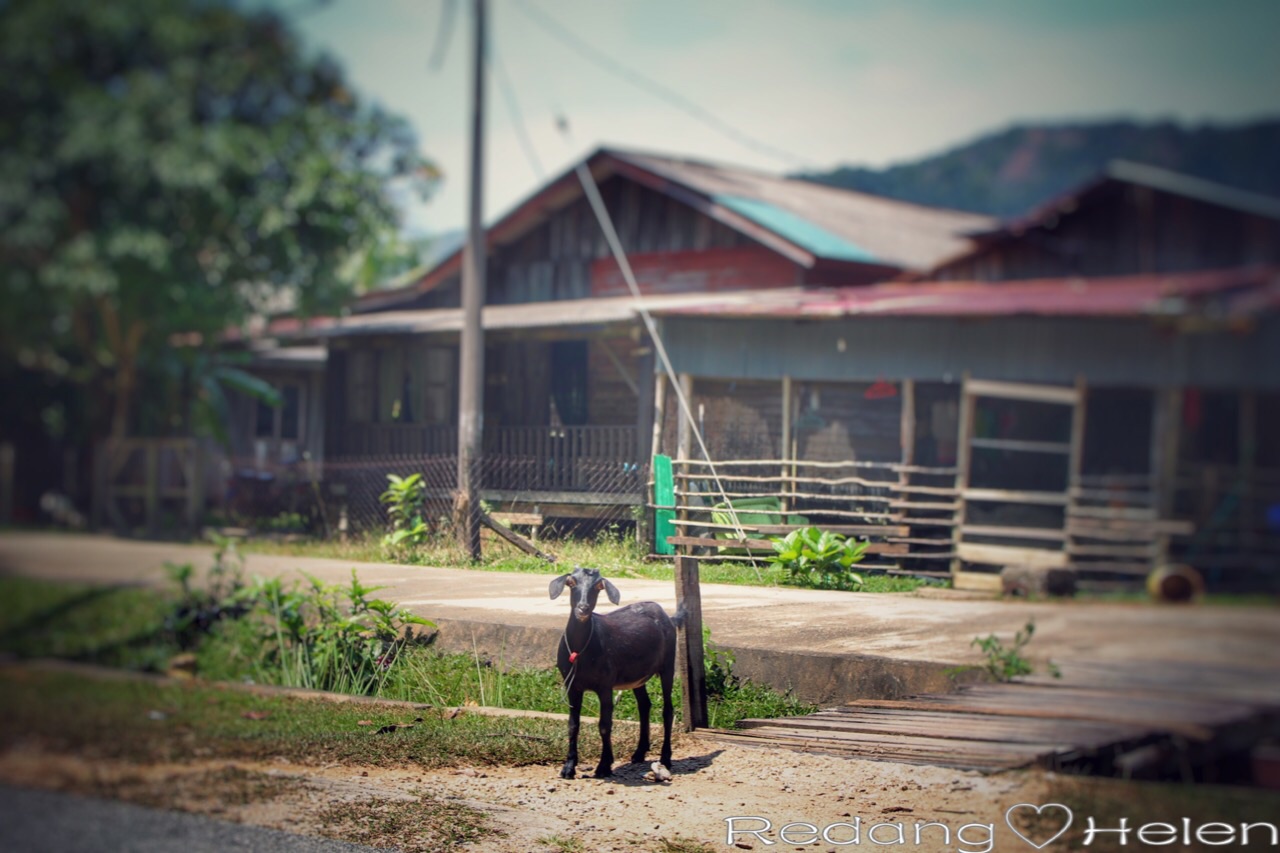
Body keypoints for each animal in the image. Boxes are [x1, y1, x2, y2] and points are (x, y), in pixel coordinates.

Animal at [552, 563, 686, 778]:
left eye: (598, 586)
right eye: (571, 582)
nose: (583, 608)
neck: (580, 652)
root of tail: (668, 616)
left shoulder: (605, 686)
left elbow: (605, 726)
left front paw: (604, 766)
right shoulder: (571, 685)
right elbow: (573, 725)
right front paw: (568, 767)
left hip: (667, 665)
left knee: (668, 710)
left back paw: (666, 758)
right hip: (638, 677)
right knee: (644, 705)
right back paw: (639, 753)